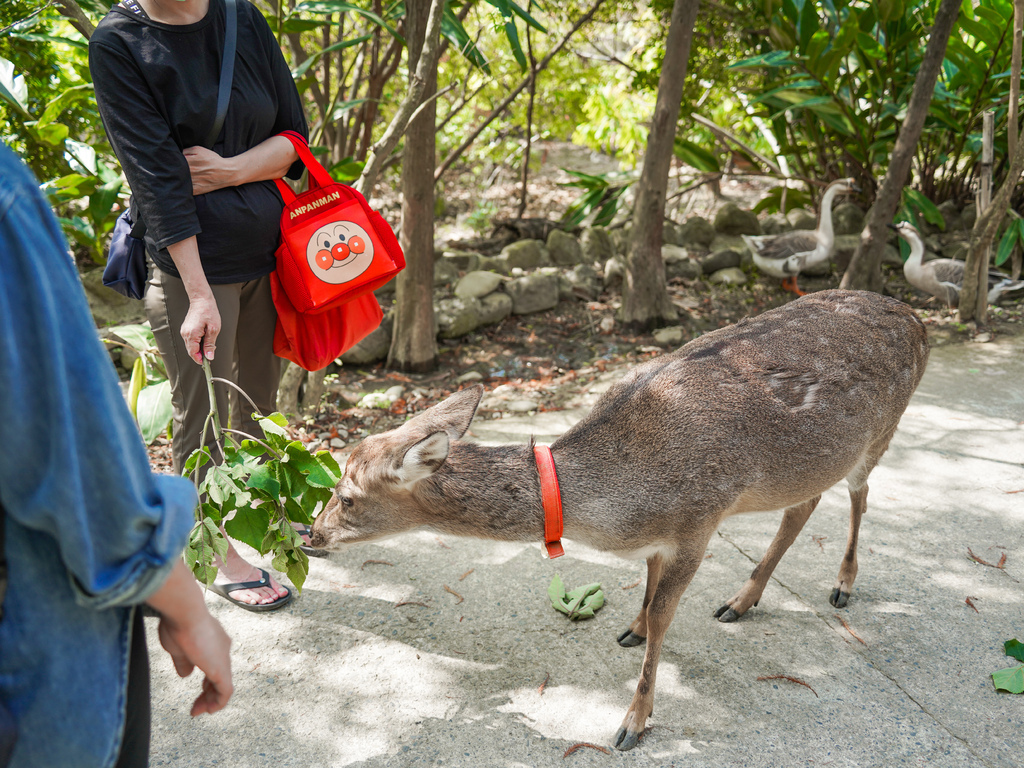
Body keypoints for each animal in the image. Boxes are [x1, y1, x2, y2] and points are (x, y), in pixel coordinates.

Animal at [309, 290, 929, 753]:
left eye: (346, 496)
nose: (311, 536)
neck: (616, 504)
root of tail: (918, 317)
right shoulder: (660, 539)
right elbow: (648, 595)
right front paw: (630, 629)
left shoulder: (699, 521)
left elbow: (663, 615)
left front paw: (632, 723)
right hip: (811, 462)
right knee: (804, 505)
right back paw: (741, 600)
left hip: (880, 433)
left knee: (860, 495)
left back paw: (841, 585)